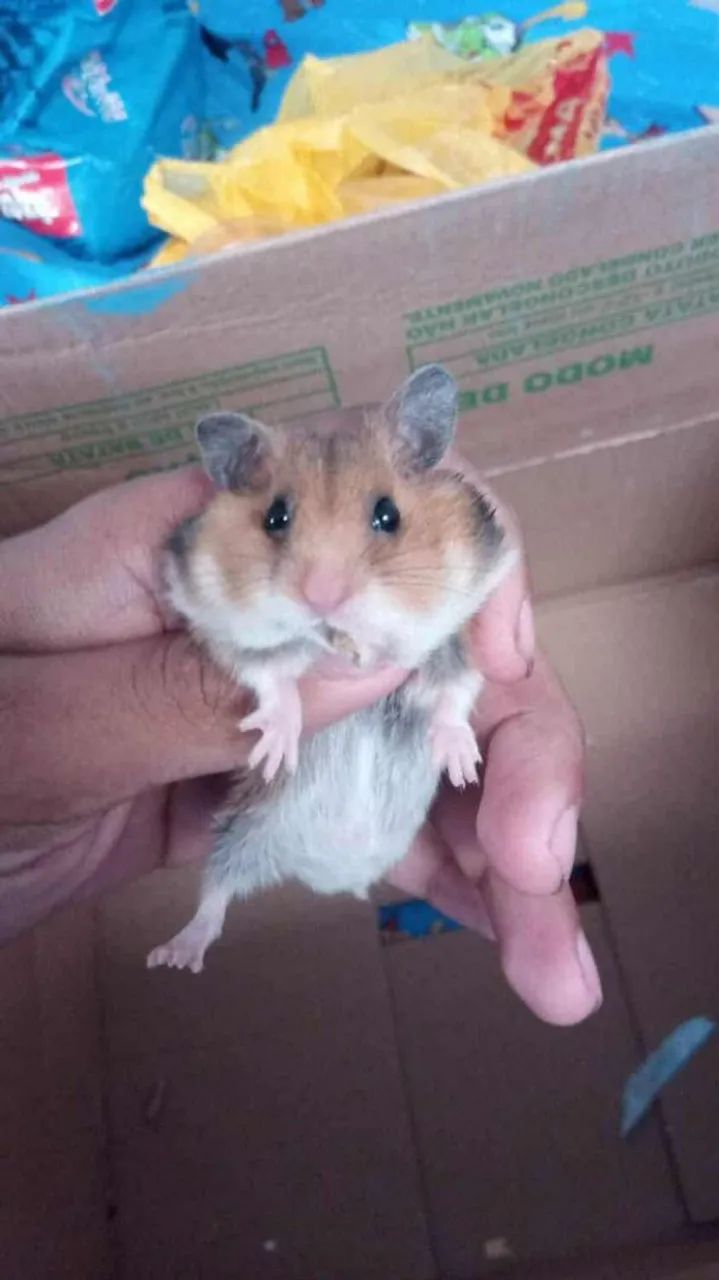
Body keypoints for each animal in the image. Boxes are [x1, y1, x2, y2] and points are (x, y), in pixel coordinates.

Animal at [147, 365, 514, 973]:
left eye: (388, 514)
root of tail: (340, 878)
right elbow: (270, 678)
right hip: (247, 826)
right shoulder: (218, 627)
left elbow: (457, 689)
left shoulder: (455, 638)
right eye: (275, 517)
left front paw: (461, 765)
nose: (322, 597)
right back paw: (174, 955)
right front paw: (275, 744)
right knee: (217, 890)